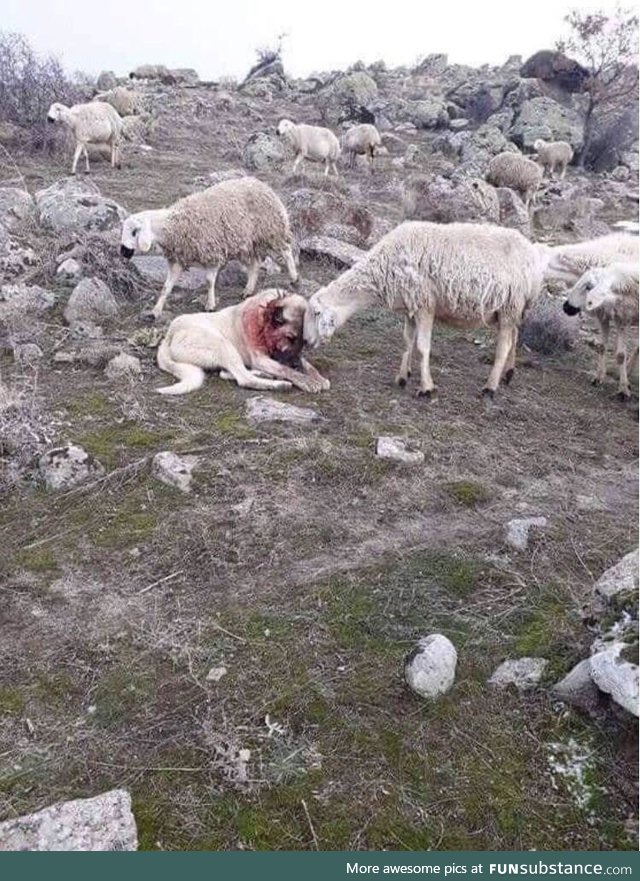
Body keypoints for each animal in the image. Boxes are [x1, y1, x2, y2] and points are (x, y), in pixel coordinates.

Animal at [119, 177, 298, 318]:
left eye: (134, 232)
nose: (123, 252)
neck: (175, 225)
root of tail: (260, 183)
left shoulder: (212, 253)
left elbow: (209, 281)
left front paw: (210, 304)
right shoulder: (178, 260)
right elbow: (166, 287)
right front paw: (156, 310)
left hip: (272, 230)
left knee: (286, 251)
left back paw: (294, 277)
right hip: (247, 243)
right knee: (254, 264)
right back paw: (248, 290)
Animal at [155, 288, 330, 396]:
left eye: (304, 341)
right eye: (290, 338)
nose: (296, 365)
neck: (262, 323)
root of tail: (168, 335)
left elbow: (308, 365)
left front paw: (317, 377)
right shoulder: (261, 359)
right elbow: (285, 369)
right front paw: (305, 380)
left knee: (227, 373)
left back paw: (264, 374)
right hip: (222, 344)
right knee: (243, 379)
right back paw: (279, 384)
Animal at [302, 220, 544, 398]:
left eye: (315, 313)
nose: (304, 341)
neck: (383, 266)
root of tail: (532, 255)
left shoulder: (424, 305)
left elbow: (422, 346)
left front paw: (426, 387)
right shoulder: (411, 308)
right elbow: (408, 341)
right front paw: (402, 377)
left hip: (510, 306)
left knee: (504, 346)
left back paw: (490, 387)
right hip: (506, 310)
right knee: (514, 336)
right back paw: (508, 374)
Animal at [564, 262, 636, 398]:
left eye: (589, 287)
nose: (565, 307)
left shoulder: (622, 318)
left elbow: (621, 355)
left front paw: (623, 389)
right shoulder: (609, 317)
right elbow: (604, 348)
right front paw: (599, 377)